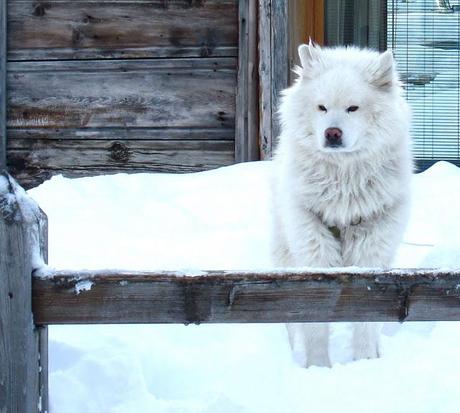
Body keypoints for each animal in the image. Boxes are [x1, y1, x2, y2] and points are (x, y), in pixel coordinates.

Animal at [272, 44, 412, 366]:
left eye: (353, 108)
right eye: (322, 108)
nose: (332, 133)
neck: (344, 180)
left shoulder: (371, 250)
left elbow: (365, 320)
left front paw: (364, 363)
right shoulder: (313, 250)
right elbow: (314, 320)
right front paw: (318, 367)